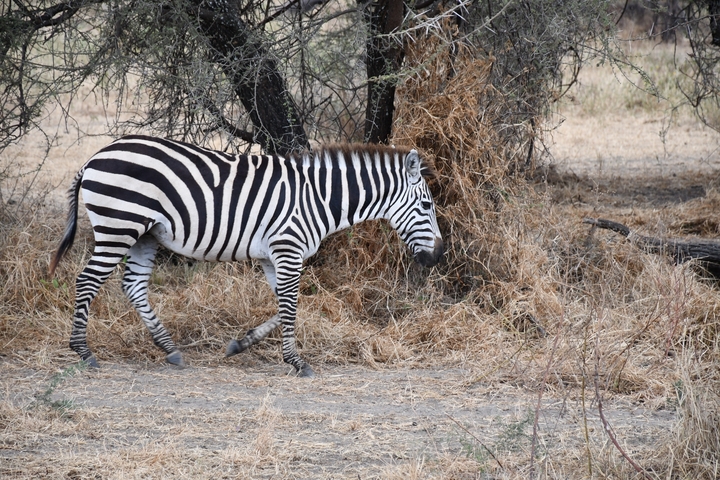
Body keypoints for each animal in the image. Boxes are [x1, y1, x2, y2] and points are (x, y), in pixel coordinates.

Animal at [49, 135, 444, 377]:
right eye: (427, 206)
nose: (438, 256)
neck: (317, 198)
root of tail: (96, 157)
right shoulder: (288, 249)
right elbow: (291, 306)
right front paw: (297, 362)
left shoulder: (274, 256)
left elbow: (285, 306)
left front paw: (240, 344)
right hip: (119, 226)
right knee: (87, 280)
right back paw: (83, 351)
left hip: (145, 233)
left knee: (133, 285)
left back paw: (169, 349)